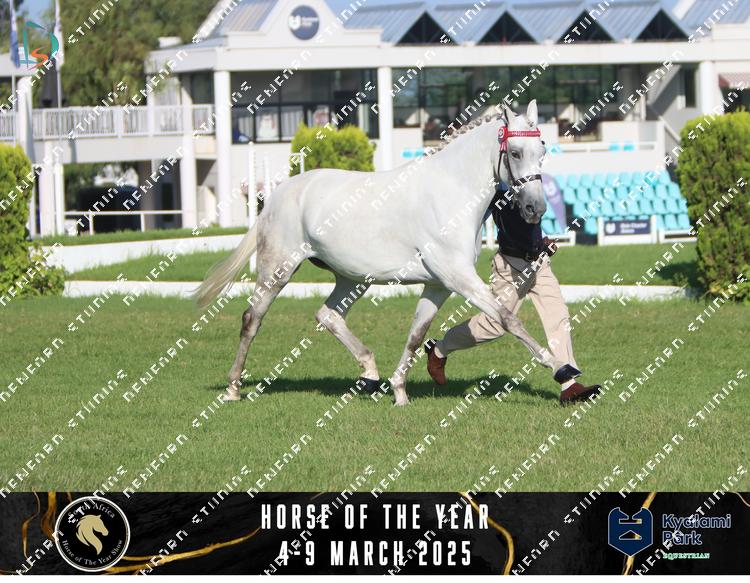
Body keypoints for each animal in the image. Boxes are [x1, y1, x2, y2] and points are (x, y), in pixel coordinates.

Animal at [196, 100, 558, 406]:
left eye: (542, 148)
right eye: (515, 152)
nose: (535, 208)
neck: (451, 191)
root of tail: (277, 194)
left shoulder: (438, 285)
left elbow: (416, 335)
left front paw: (399, 392)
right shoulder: (458, 278)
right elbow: (508, 318)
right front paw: (558, 367)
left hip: (352, 278)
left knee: (327, 315)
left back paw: (370, 373)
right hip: (277, 270)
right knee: (252, 319)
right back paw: (233, 388)